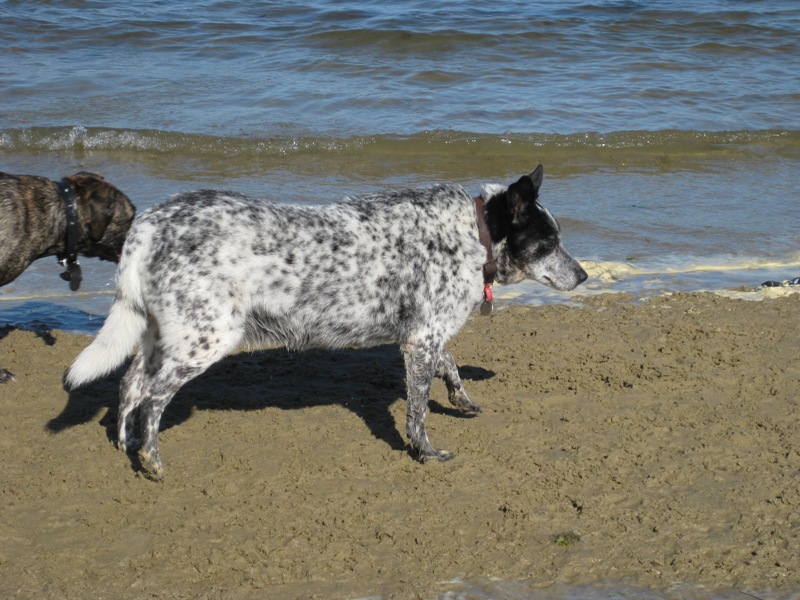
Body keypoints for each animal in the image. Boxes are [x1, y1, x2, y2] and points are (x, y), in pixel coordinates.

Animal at [65, 165, 584, 482]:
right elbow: (417, 412)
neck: (473, 233)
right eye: (548, 242)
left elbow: (450, 367)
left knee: (130, 383)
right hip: (205, 339)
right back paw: (151, 459)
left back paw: (125, 444)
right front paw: (425, 452)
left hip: (160, 334)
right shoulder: (420, 341)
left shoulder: (424, 334)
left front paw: (463, 399)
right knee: (152, 399)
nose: (582, 275)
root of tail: (149, 223)